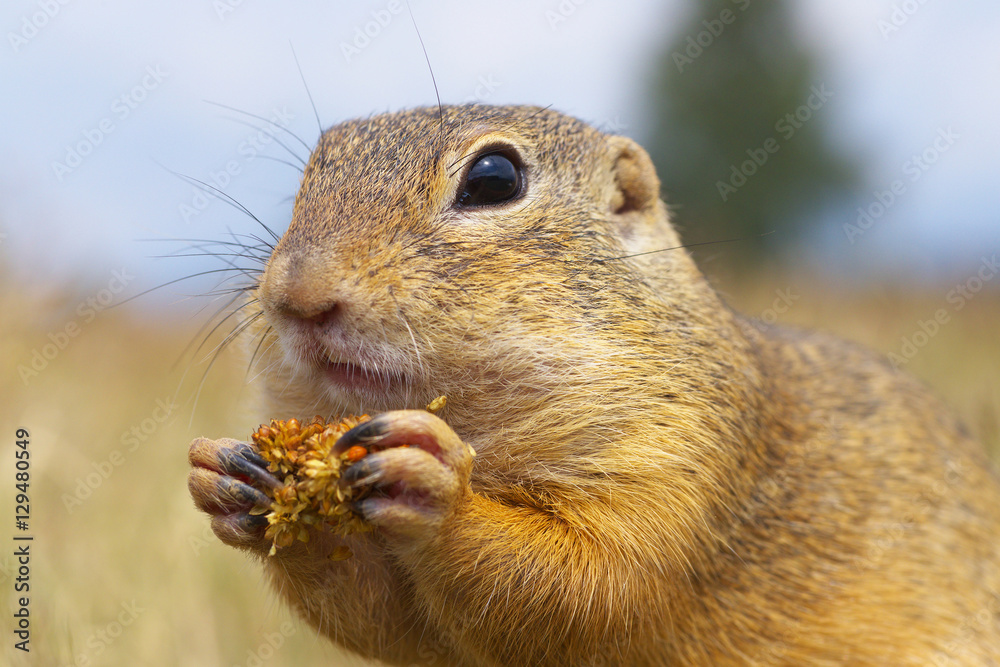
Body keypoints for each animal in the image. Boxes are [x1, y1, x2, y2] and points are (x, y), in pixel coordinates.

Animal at [188, 104, 1000, 666]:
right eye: (310, 176)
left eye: (494, 179)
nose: (297, 295)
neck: (482, 430)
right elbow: (382, 619)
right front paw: (224, 475)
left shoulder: (679, 463)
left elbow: (587, 585)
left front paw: (435, 483)